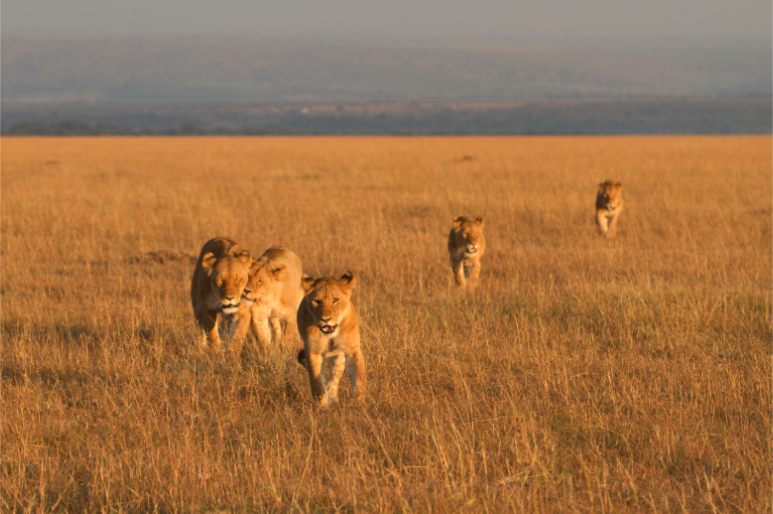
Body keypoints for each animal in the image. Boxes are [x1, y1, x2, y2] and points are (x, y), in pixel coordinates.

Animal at [296, 271, 366, 408]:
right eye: (317, 301)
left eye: (335, 300)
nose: (326, 319)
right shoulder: (314, 350)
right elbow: (317, 382)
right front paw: (322, 407)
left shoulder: (352, 349)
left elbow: (359, 375)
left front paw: (358, 401)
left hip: (339, 355)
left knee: (335, 376)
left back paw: (333, 398)